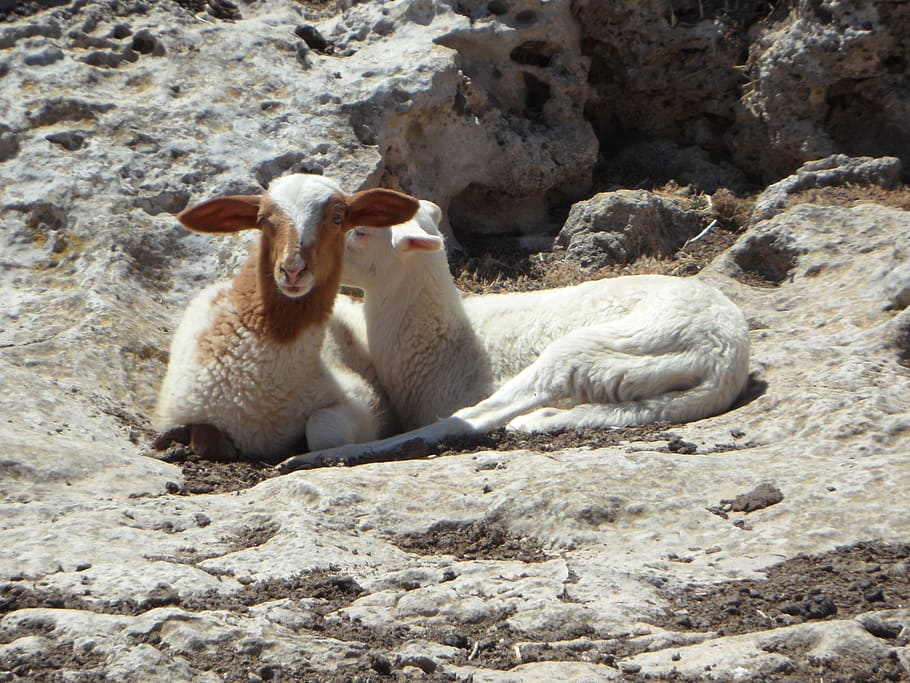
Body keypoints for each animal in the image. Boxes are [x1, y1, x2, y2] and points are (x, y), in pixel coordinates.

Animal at [153, 173, 419, 462]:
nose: (292, 270)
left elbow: (323, 431)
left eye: (338, 218)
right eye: (262, 219)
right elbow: (205, 437)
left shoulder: (361, 402)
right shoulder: (177, 407)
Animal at [277, 199, 750, 471]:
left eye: (358, 231)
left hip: (600, 347)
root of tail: (725, 360)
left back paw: (309, 459)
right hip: (629, 375)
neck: (447, 341)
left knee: (477, 417)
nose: (296, 265)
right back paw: (543, 420)